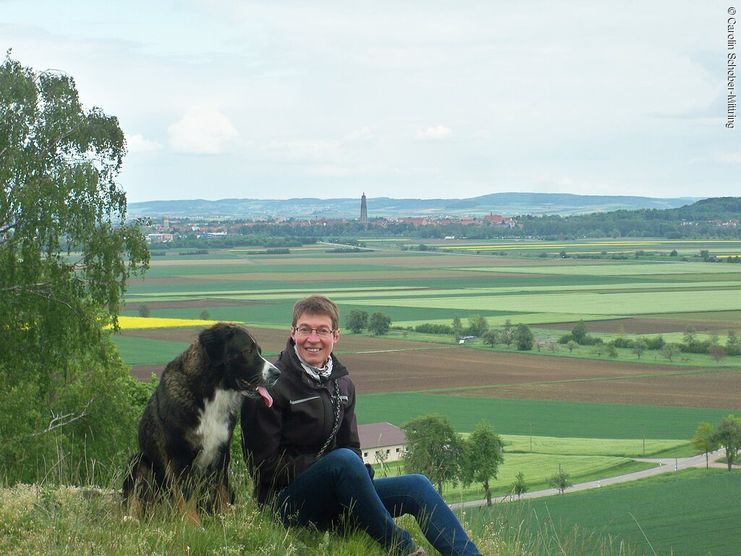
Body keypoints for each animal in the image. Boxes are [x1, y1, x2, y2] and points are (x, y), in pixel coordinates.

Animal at [123, 322, 278, 520]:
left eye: (258, 350)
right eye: (248, 351)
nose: (277, 373)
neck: (211, 395)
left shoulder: (221, 453)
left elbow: (222, 492)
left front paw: (226, 520)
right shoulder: (179, 456)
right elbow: (186, 498)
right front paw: (192, 524)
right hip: (138, 461)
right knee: (136, 497)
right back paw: (132, 519)